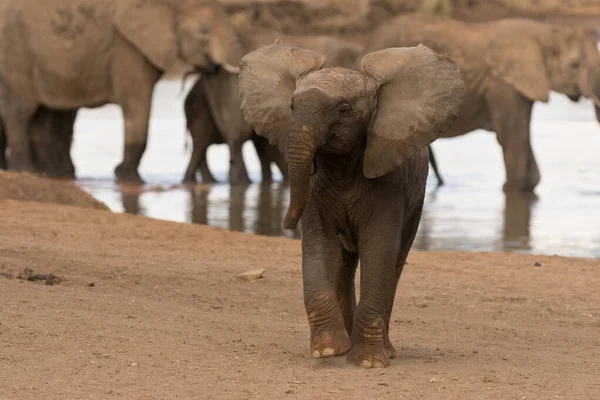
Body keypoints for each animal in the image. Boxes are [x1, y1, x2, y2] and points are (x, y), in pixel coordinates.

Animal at [0, 0, 244, 183]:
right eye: (203, 31)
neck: (170, 4)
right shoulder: (126, 48)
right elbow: (137, 104)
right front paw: (129, 177)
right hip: (14, 53)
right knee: (20, 111)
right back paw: (27, 171)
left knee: (41, 115)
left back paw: (53, 174)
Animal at [239, 43, 464, 366]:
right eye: (291, 107)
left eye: (343, 110)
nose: (286, 223)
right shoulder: (316, 187)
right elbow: (319, 244)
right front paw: (328, 350)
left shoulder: (390, 183)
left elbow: (379, 249)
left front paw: (368, 361)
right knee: (344, 265)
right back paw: (344, 346)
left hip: (416, 200)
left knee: (396, 262)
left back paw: (385, 351)